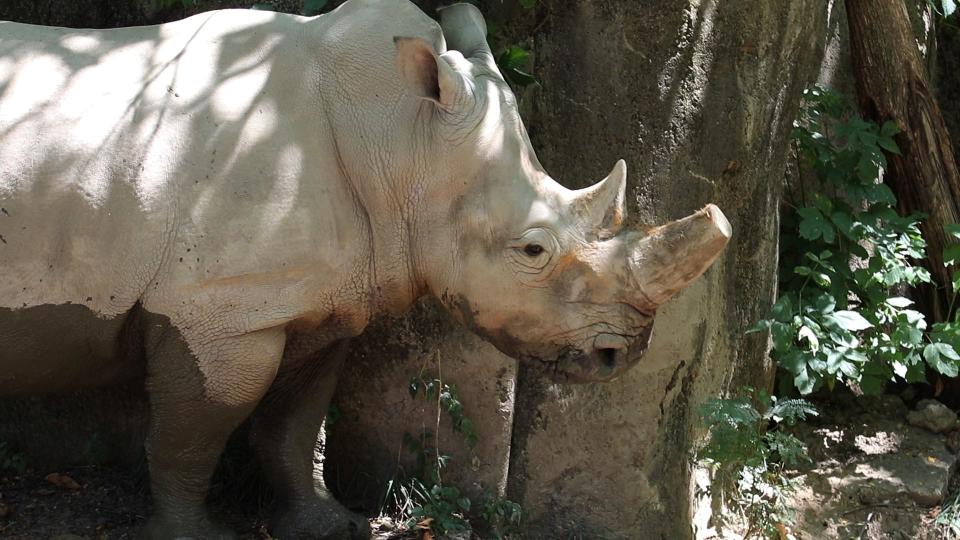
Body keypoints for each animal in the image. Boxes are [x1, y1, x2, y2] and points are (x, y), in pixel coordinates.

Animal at [0, 2, 728, 536]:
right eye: (531, 252)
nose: (621, 353)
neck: (402, 142)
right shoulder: (217, 313)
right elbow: (193, 432)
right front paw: (194, 538)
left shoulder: (309, 301)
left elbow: (293, 425)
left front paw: (332, 525)